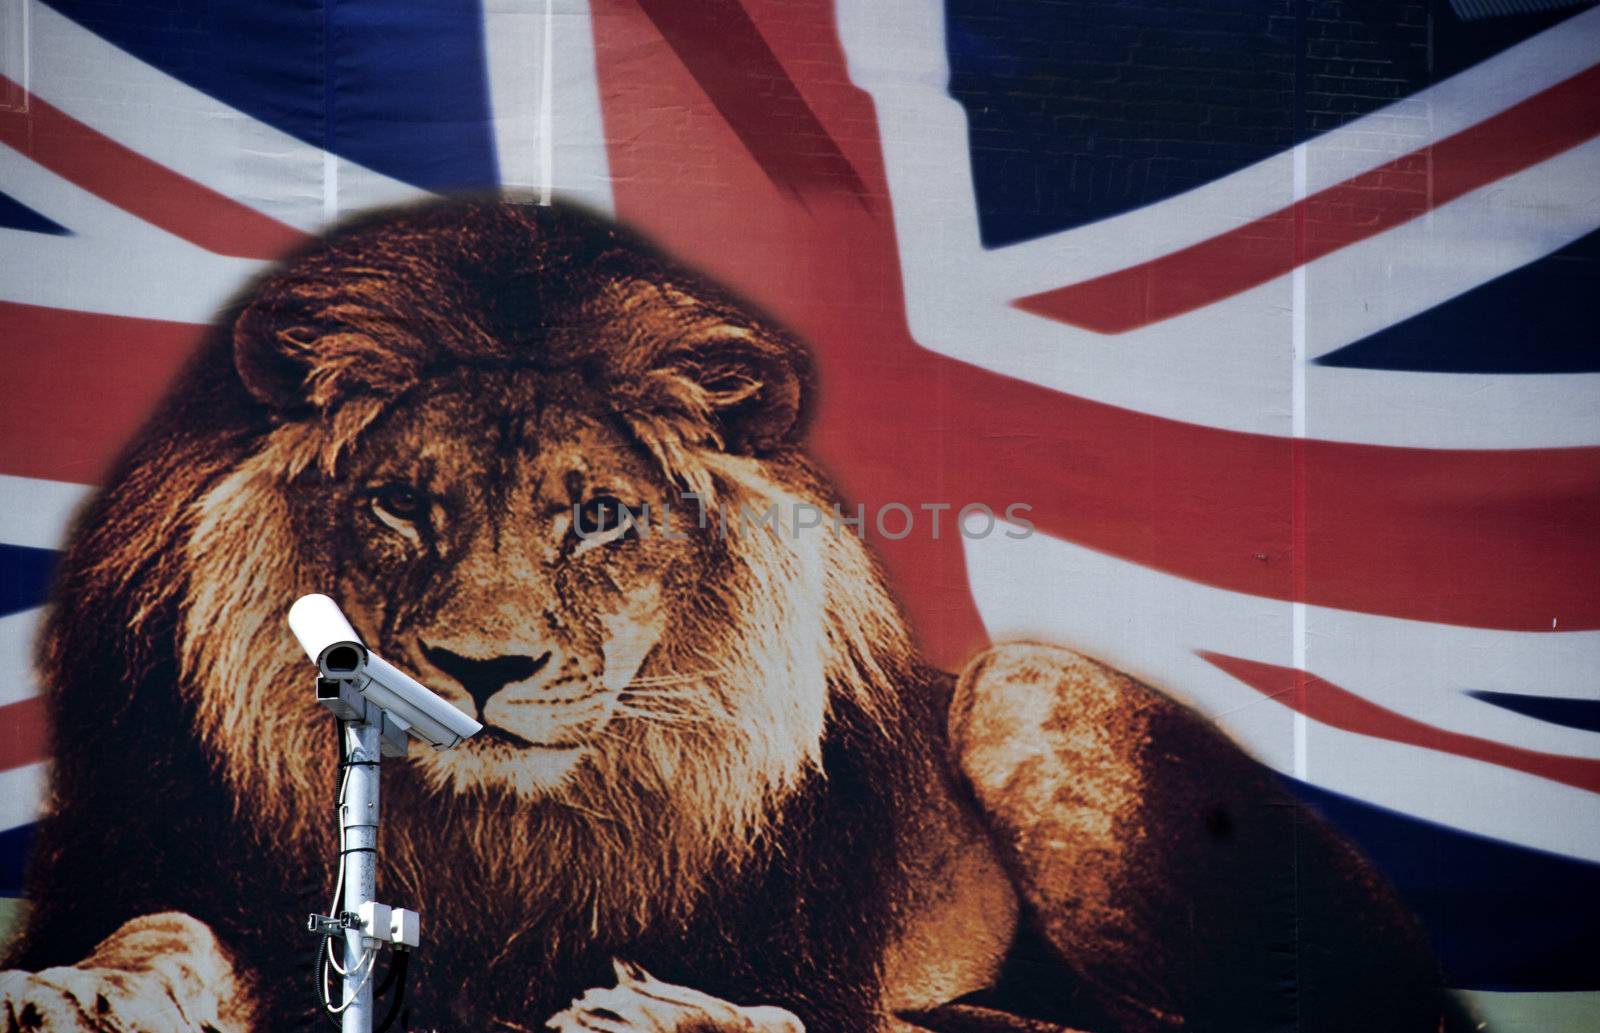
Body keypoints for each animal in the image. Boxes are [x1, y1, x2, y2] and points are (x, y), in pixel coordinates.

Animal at [0, 196, 1459, 1033]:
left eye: (599, 515)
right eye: (402, 503)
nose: (480, 669)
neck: (497, 847)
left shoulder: (808, 961)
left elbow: (797, 1014)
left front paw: (665, 1013)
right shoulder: (165, 862)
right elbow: (166, 929)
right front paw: (83, 993)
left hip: (1027, 682)